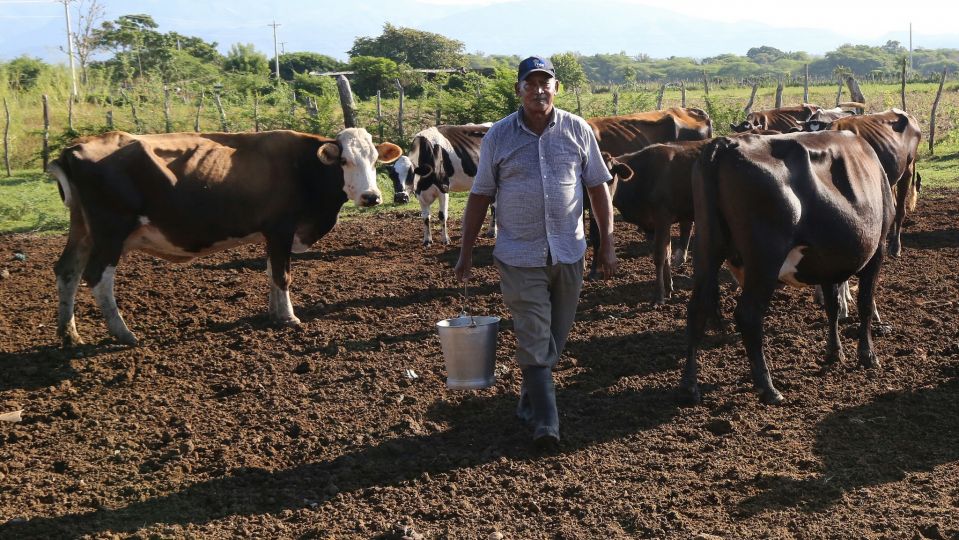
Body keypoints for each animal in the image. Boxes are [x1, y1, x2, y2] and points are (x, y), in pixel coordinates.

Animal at [50, 127, 404, 346]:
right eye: (344, 160)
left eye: (375, 160)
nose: (372, 196)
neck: (303, 167)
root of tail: (73, 148)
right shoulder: (280, 229)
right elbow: (283, 275)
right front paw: (289, 317)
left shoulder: (272, 235)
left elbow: (271, 273)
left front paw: (274, 313)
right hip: (110, 232)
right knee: (98, 277)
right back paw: (123, 333)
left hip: (83, 229)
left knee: (67, 271)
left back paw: (69, 334)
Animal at [684, 131, 892, 404]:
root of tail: (725, 143)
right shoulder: (878, 249)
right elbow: (865, 304)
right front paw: (868, 356)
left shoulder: (826, 263)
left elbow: (833, 307)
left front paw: (834, 353)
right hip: (765, 259)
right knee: (748, 315)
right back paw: (768, 388)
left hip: (707, 248)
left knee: (696, 309)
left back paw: (690, 387)